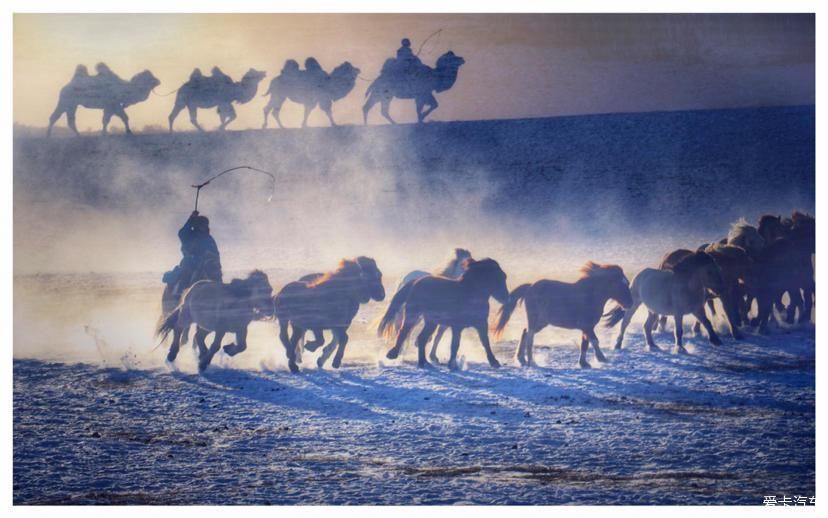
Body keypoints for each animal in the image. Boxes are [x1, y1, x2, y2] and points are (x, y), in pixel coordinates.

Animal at [378, 258, 508, 372]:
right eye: (498, 277)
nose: (506, 298)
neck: (470, 294)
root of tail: (416, 282)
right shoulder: (457, 326)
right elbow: (455, 345)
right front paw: (453, 365)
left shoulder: (481, 324)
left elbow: (485, 342)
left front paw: (494, 362)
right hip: (414, 315)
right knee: (404, 332)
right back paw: (394, 354)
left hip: (431, 322)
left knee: (421, 338)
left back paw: (424, 363)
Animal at [492, 264, 632, 370]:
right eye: (621, 284)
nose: (629, 303)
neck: (589, 296)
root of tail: (530, 287)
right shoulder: (587, 326)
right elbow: (595, 341)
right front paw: (601, 358)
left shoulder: (586, 328)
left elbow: (585, 344)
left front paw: (584, 364)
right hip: (534, 320)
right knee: (530, 338)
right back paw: (531, 362)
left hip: (541, 322)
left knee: (525, 333)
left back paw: (521, 359)